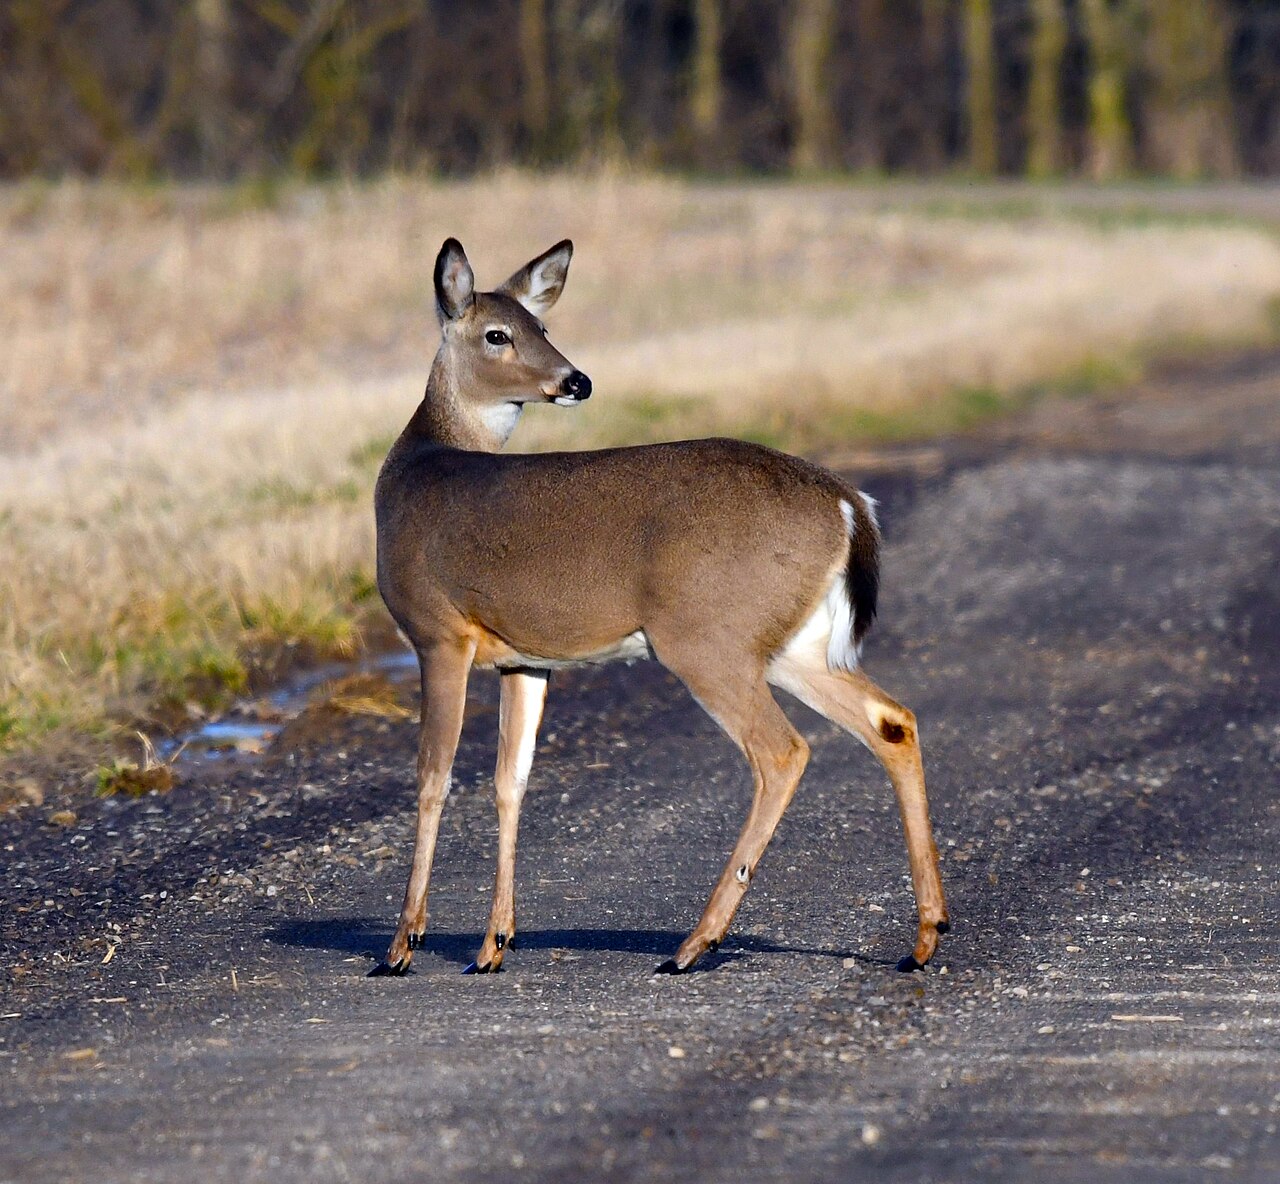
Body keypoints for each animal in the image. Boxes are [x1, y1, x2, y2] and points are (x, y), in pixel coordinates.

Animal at [368, 237, 949, 978]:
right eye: (500, 333)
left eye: (540, 326)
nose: (576, 381)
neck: (419, 464)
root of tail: (850, 505)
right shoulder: (524, 657)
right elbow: (509, 781)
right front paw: (494, 942)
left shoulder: (439, 631)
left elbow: (433, 778)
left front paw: (401, 944)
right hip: (794, 645)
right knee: (892, 721)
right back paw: (926, 936)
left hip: (705, 637)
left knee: (783, 751)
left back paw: (695, 944)